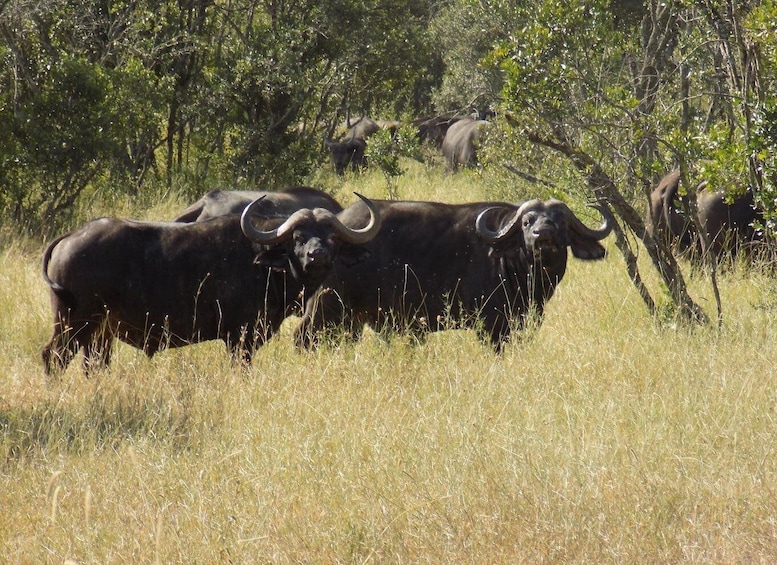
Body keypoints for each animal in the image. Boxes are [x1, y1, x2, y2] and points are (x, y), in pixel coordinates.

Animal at [41, 194, 381, 375]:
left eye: (332, 238)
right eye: (298, 238)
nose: (317, 255)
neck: (267, 266)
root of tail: (71, 236)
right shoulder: (240, 338)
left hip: (99, 333)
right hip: (74, 324)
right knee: (53, 357)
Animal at [295, 198, 613, 350]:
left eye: (560, 222)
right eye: (526, 221)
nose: (543, 234)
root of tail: (336, 229)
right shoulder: (492, 326)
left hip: (352, 319)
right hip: (327, 307)